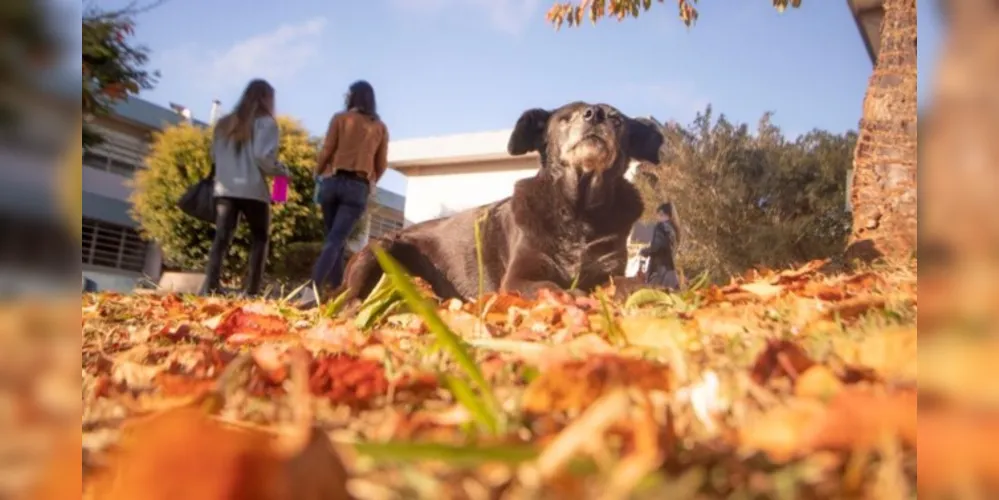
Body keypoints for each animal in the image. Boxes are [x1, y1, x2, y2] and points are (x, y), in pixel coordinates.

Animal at [342, 101, 664, 300]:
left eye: (617, 120)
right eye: (565, 118)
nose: (595, 114)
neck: (578, 211)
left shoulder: (608, 271)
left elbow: (627, 282)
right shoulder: (520, 278)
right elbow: (550, 286)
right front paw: (573, 295)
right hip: (381, 249)